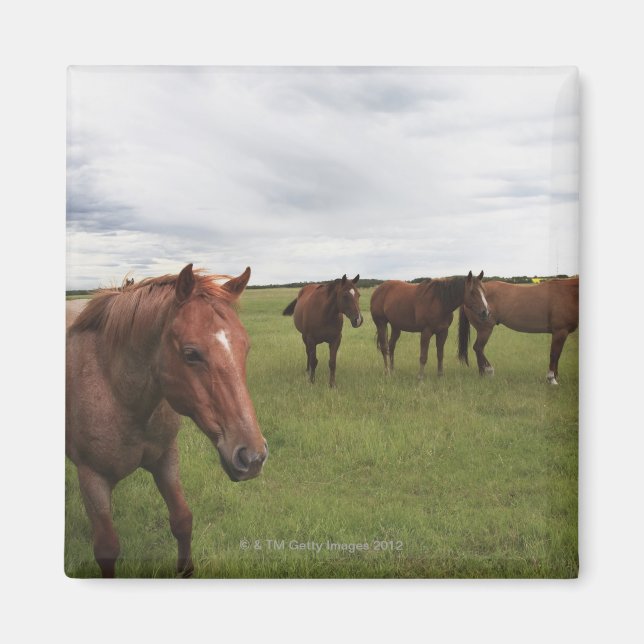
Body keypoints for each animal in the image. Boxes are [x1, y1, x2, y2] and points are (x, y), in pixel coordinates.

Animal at [66, 264, 268, 577]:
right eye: (190, 354)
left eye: (245, 347)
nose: (253, 457)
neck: (117, 392)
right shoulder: (91, 477)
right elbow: (107, 548)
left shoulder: (166, 459)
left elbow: (182, 520)